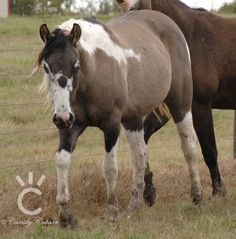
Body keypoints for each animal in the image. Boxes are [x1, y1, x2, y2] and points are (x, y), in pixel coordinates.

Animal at [37, 10, 202, 228]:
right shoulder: (71, 126)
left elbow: (109, 168)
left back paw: (197, 196)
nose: (62, 116)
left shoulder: (111, 125)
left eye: (76, 66)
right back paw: (135, 205)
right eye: (47, 67)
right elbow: (62, 161)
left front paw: (111, 213)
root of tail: (167, 21)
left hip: (180, 105)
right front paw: (66, 216)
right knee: (139, 157)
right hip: (133, 119)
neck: (94, 71)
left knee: (189, 148)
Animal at [117, 0, 236, 203]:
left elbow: (209, 149)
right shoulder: (172, 107)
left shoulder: (198, 105)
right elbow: (144, 140)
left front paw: (218, 192)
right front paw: (149, 191)